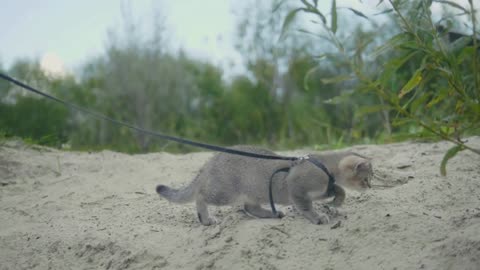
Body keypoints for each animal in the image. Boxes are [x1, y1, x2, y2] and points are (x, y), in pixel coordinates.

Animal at [156, 146, 374, 226]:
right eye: (366, 179)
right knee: (201, 195)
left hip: (253, 193)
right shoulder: (297, 189)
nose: (370, 187)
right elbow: (306, 207)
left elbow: (339, 189)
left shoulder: (320, 189)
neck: (324, 165)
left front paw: (336, 202)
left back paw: (273, 213)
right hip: (225, 192)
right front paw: (317, 217)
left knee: (249, 207)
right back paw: (206, 219)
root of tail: (211, 160)